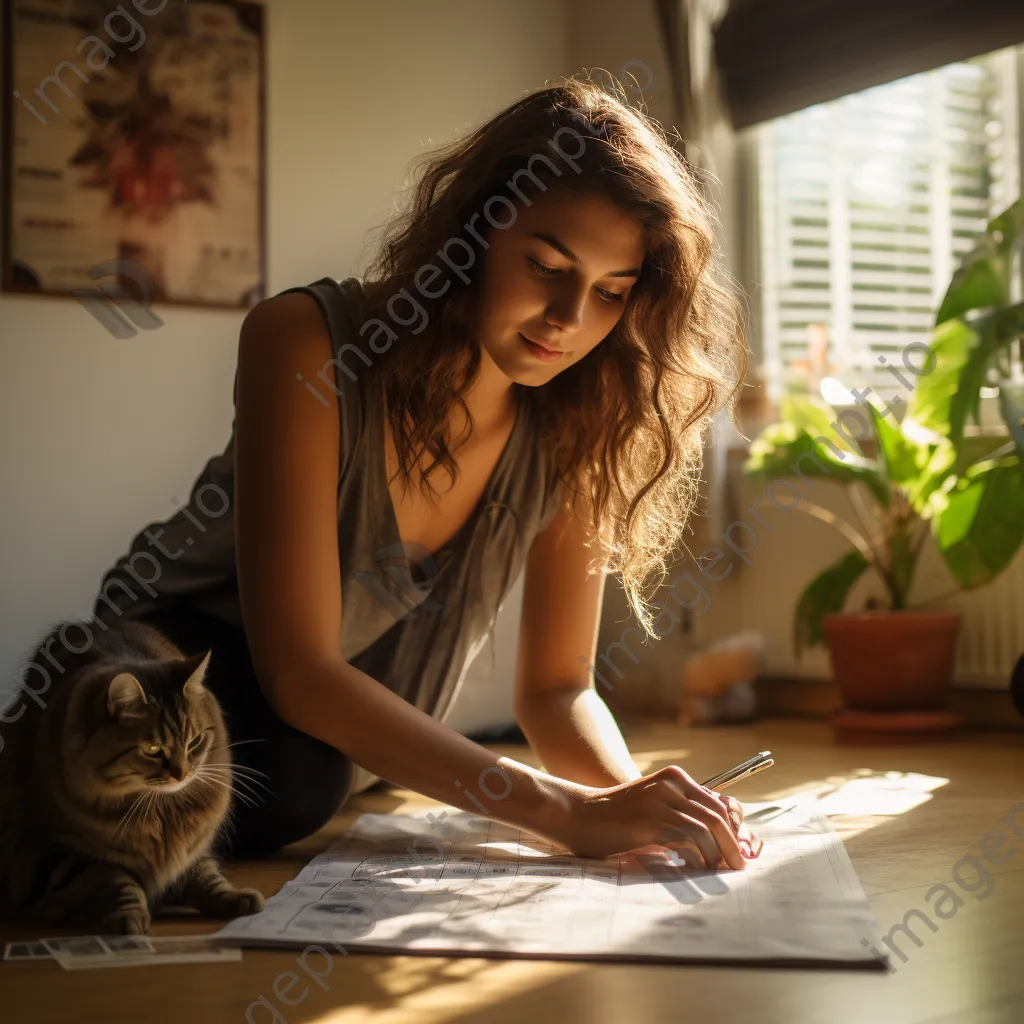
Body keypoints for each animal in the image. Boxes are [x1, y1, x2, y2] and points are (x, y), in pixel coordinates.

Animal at [0, 614, 268, 937]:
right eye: (153, 749)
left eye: (194, 742)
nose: (182, 774)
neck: (161, 813)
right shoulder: (61, 849)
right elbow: (117, 882)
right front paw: (129, 918)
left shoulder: (192, 848)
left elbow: (205, 876)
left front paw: (234, 897)